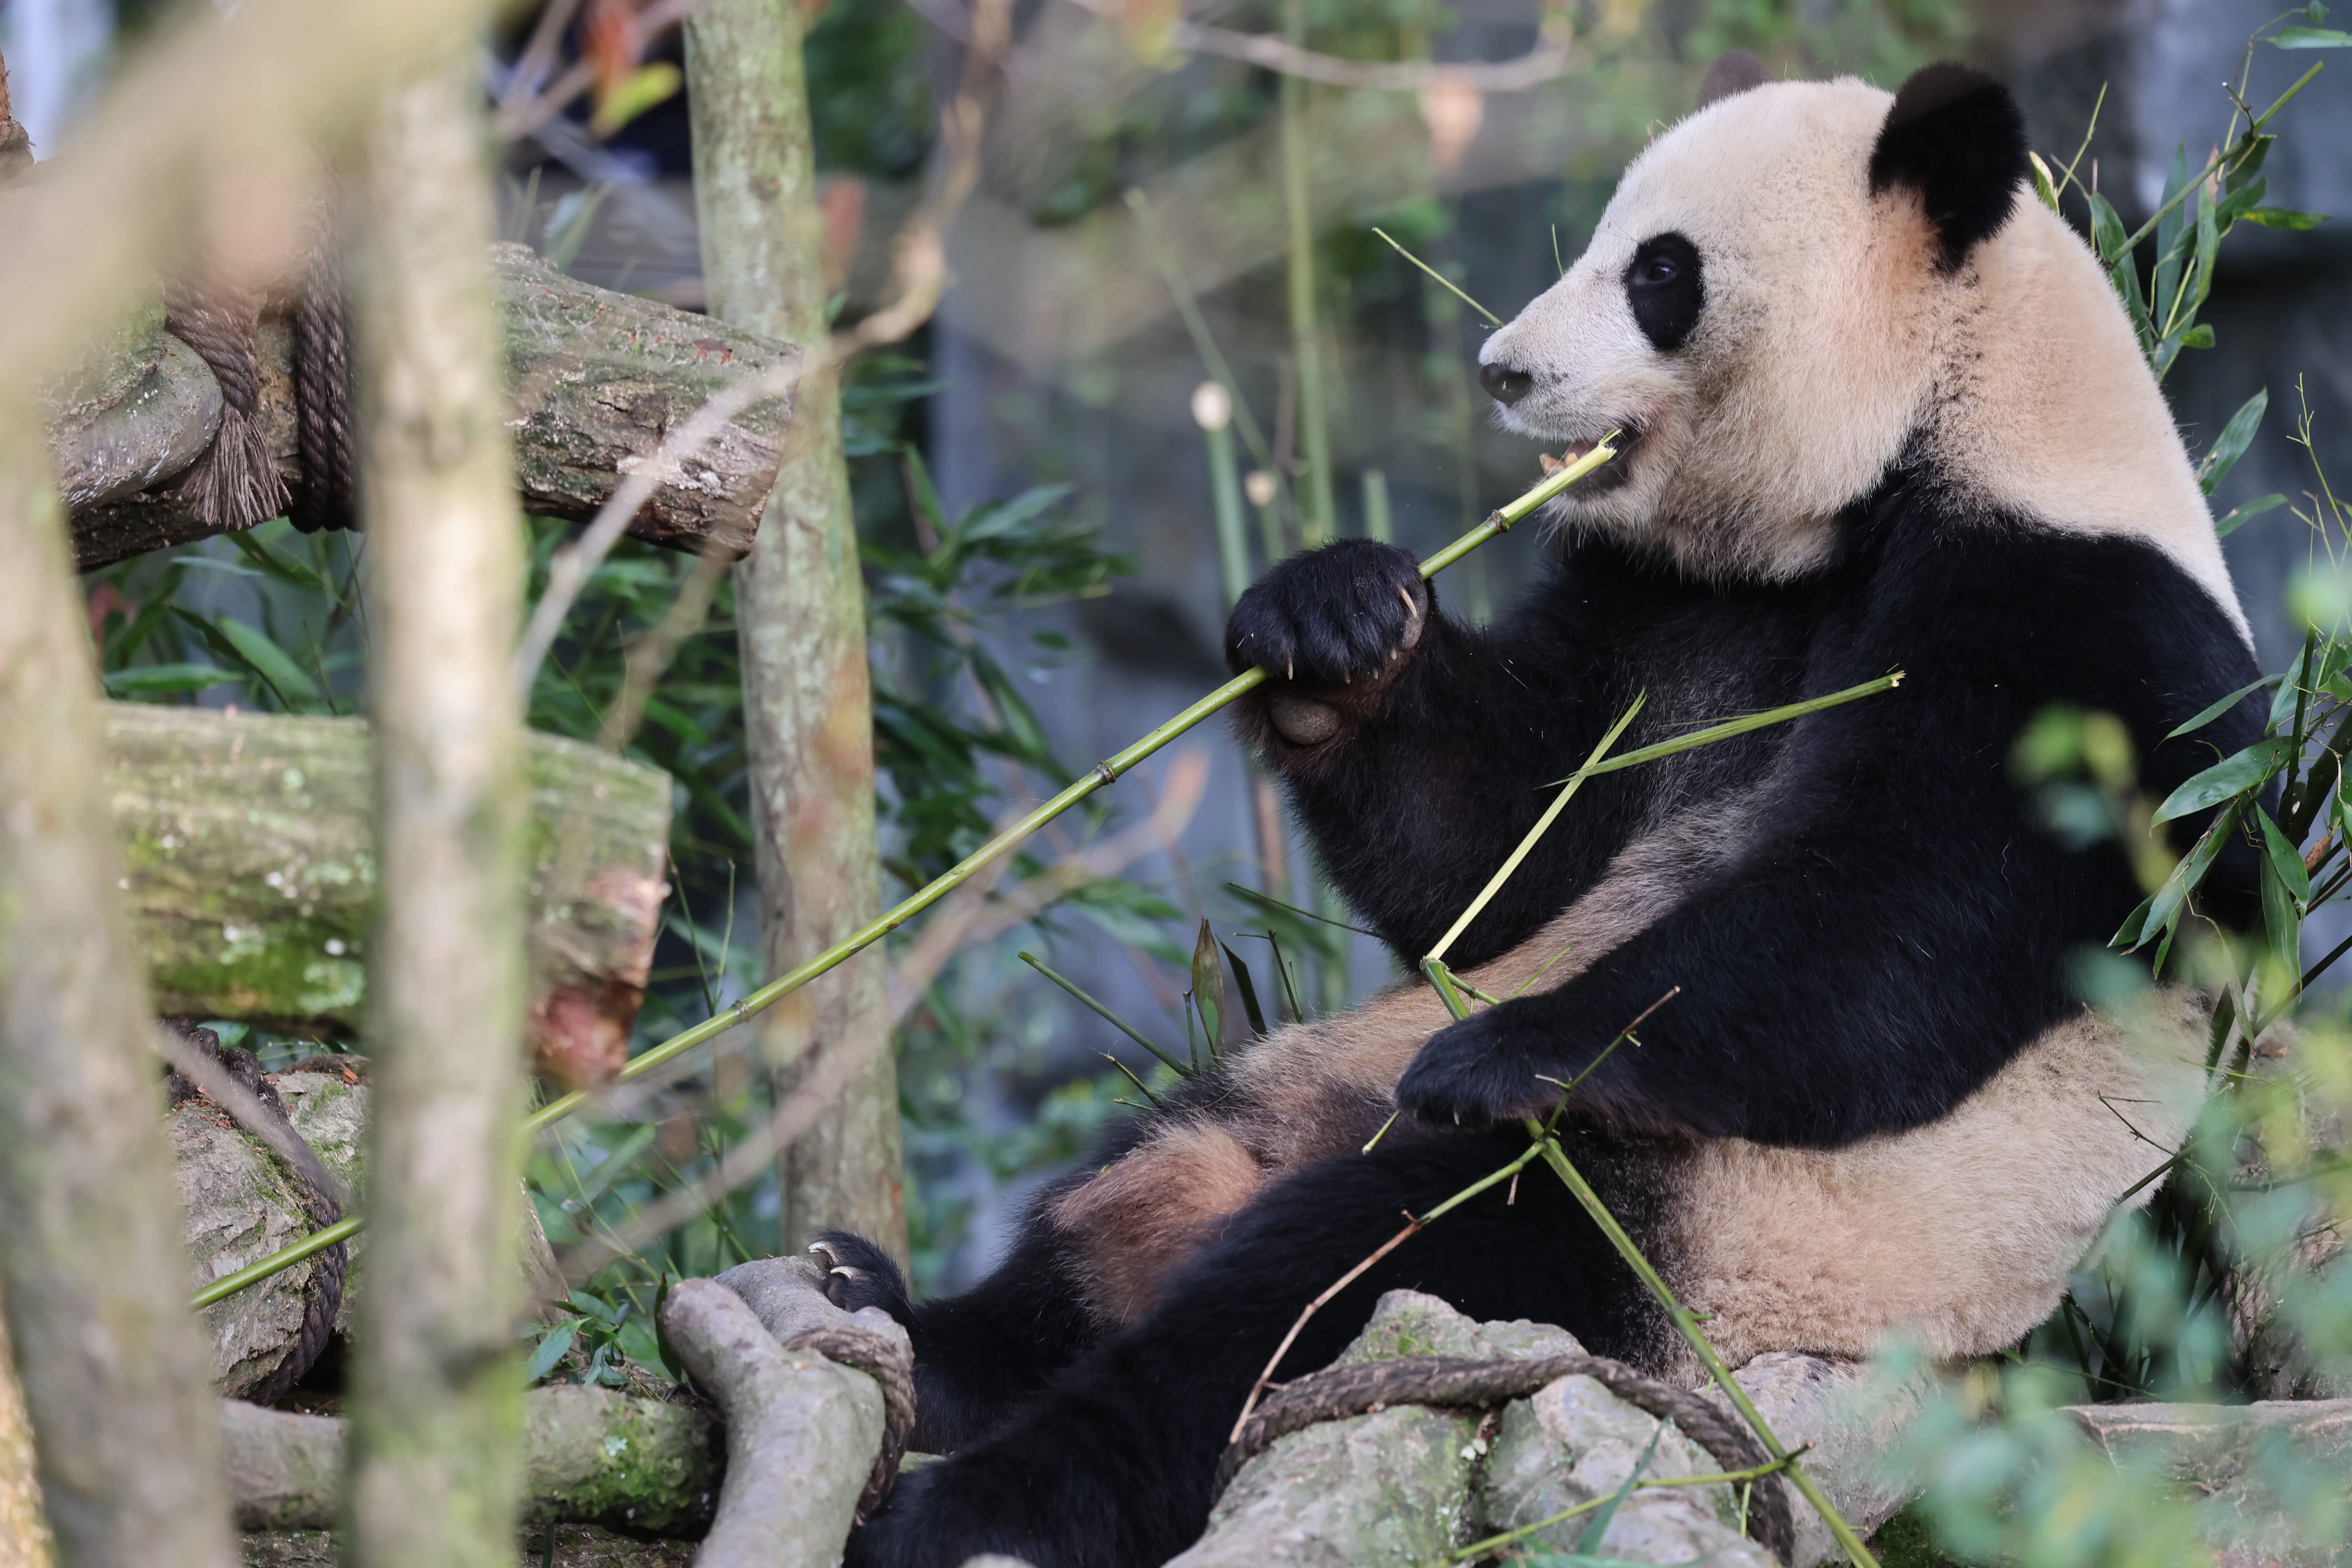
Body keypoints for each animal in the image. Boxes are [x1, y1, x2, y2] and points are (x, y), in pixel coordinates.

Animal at [823, 55, 2264, 1568]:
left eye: (1661, 271)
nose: (1504, 371)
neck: (1942, 433)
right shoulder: (1687, 610)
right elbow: (1507, 855)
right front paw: (1336, 627)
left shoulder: (2083, 635)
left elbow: (1904, 921)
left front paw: (1508, 1050)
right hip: (1303, 1077)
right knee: (1152, 1169)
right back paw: (915, 1328)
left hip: (1709, 1240)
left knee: (1350, 1276)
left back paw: (994, 1491)